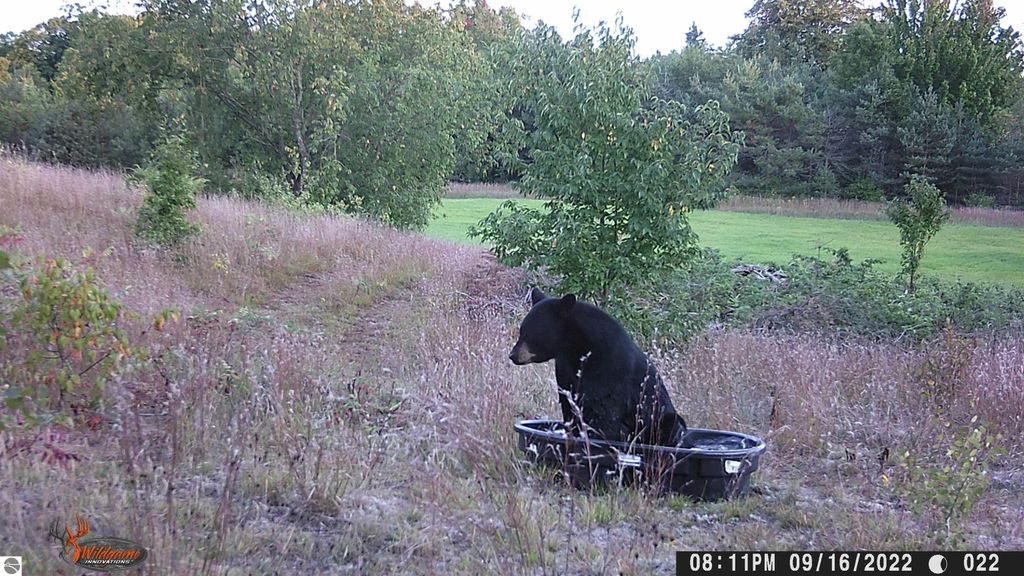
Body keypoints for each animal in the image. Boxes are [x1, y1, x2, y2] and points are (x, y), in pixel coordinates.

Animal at [509, 287, 689, 447]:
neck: (577, 350)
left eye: (530, 333)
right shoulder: (565, 371)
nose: (512, 355)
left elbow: (605, 413)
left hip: (662, 418)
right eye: (522, 330)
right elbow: (569, 406)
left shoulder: (610, 370)